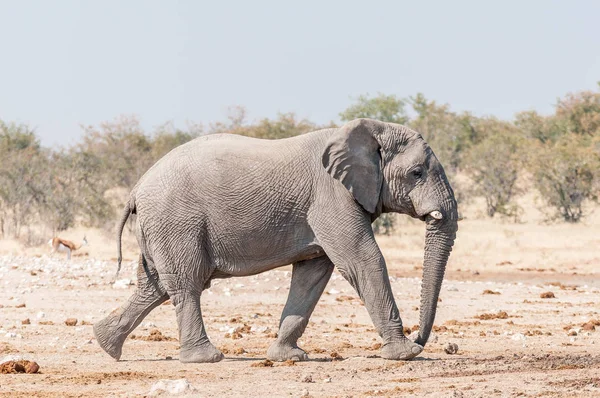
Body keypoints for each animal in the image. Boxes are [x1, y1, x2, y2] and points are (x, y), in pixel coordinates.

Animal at [92, 117, 460, 364]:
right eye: (416, 173)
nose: (421, 338)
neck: (367, 131)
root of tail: (137, 188)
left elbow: (313, 274)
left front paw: (289, 357)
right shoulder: (331, 196)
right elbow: (364, 259)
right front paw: (406, 353)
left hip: (160, 227)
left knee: (153, 287)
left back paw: (106, 344)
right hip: (176, 223)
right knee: (186, 284)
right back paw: (207, 358)